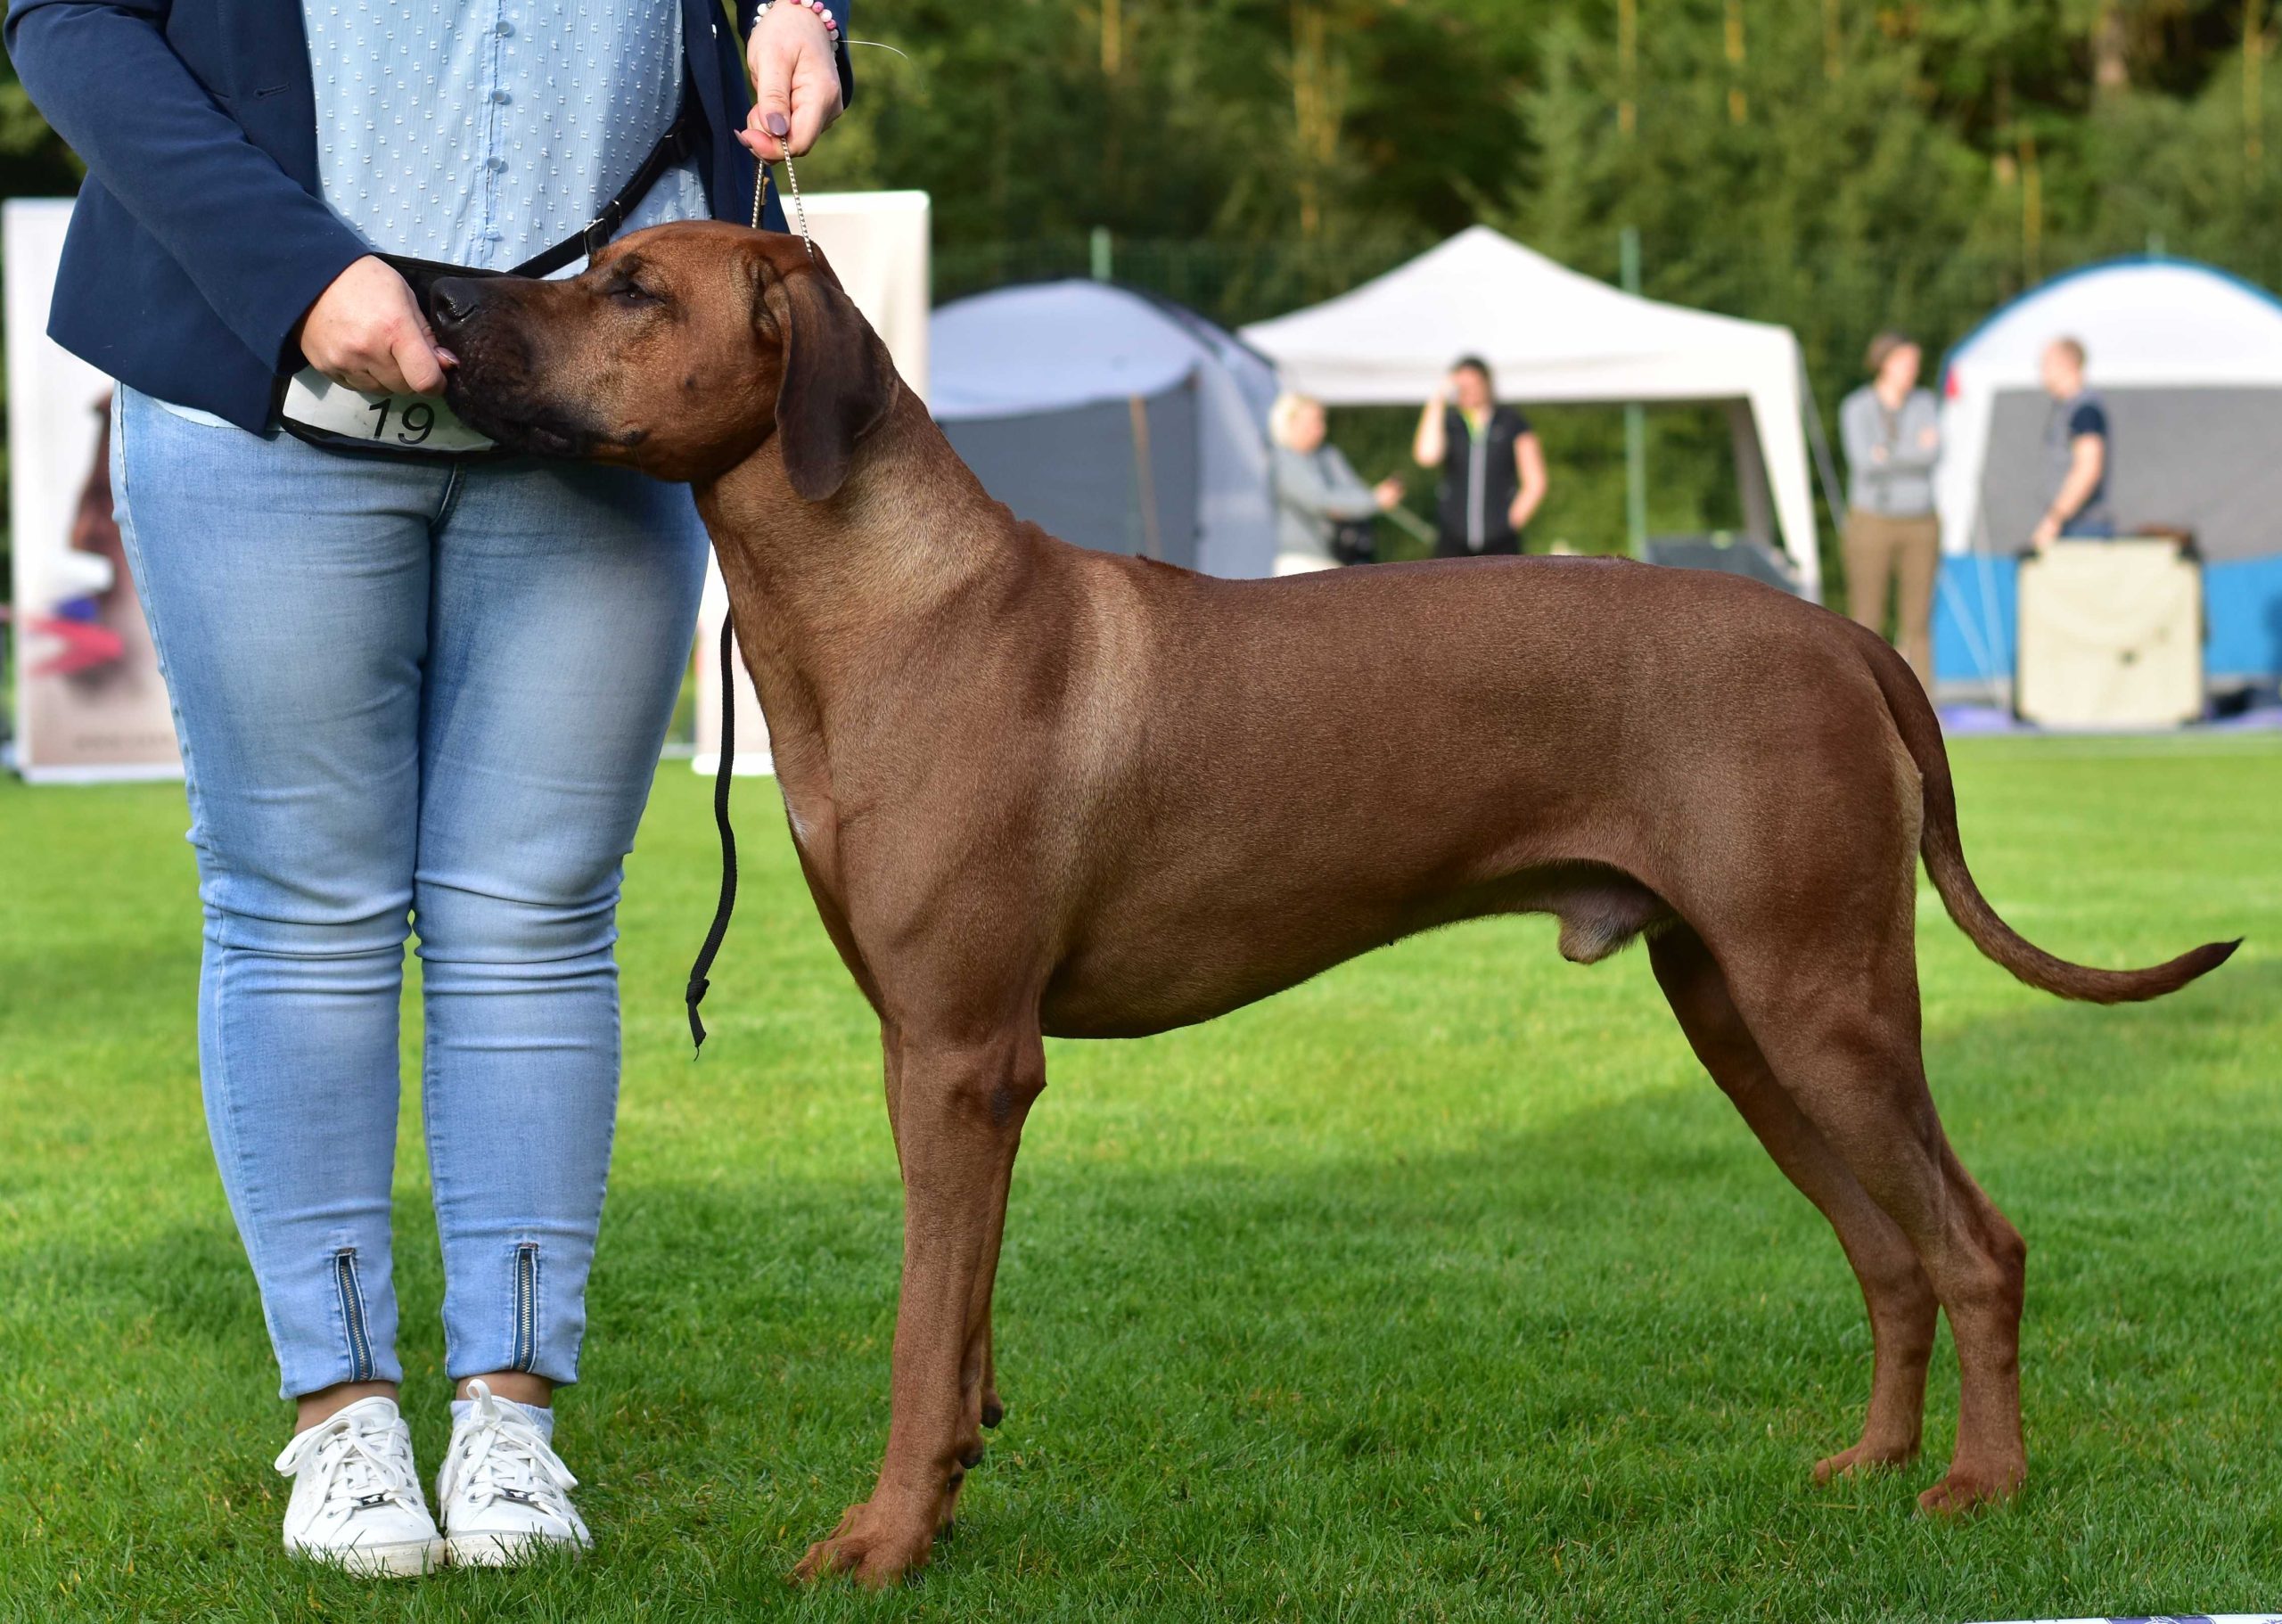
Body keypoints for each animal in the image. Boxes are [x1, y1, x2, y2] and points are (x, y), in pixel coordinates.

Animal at [431, 227, 2245, 1587]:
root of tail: (1842, 633)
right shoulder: (947, 1053)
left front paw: (880, 1539)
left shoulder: (957, 1054)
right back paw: (1872, 1460)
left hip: (1827, 998)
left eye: (630, 287)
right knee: (1890, 1253)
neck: (888, 601)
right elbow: (965, 1325)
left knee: (1977, 1241)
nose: (438, 303)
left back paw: (1982, 1490)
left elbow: (915, 1329)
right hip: (1740, 1008)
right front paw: (940, 1500)